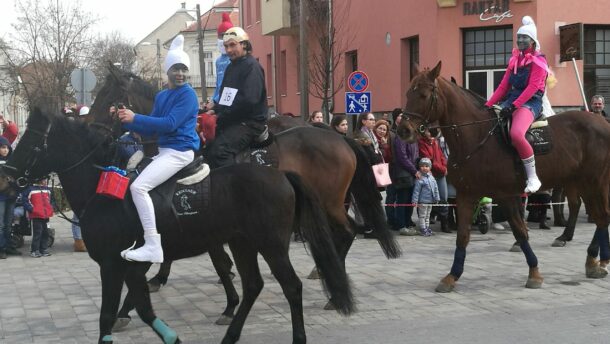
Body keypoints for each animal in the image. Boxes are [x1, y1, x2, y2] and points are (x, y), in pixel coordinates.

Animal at [1, 108, 352, 344]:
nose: (6, 174)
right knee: (253, 285)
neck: (102, 187)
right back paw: (231, 333)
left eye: (31, 142)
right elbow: (143, 308)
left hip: (272, 245)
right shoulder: (130, 267)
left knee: (292, 286)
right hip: (243, 244)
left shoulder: (112, 264)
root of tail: (281, 175)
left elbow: (108, 314)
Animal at [400, 61, 608, 290]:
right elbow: (462, 236)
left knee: (601, 217)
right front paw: (452, 276)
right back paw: (593, 260)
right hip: (581, 183)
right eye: (408, 92)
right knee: (597, 216)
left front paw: (534, 272)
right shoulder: (465, 195)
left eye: (424, 95)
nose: (403, 130)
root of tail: (603, 123)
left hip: (593, 183)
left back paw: (596, 259)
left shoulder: (505, 195)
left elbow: (520, 231)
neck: (477, 138)